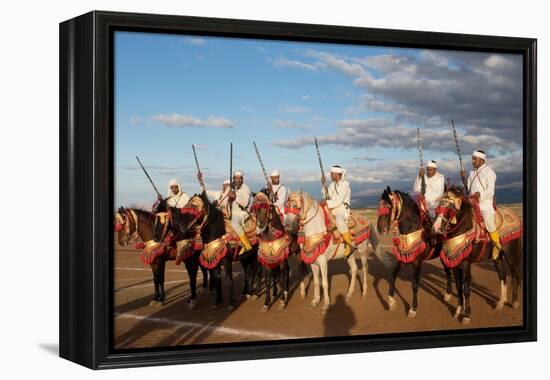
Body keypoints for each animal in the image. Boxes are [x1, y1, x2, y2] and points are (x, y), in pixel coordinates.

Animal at [378, 188, 454, 318]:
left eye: (389, 206)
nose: (379, 228)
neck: (412, 229)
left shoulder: (417, 262)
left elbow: (415, 285)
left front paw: (413, 309)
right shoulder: (403, 258)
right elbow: (393, 276)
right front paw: (391, 302)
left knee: (449, 271)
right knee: (448, 272)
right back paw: (448, 294)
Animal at [436, 187, 520, 324]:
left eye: (450, 207)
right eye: (438, 206)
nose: (437, 228)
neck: (463, 229)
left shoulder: (466, 264)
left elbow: (466, 290)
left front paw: (466, 315)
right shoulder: (455, 265)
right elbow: (459, 288)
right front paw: (458, 311)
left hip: (510, 253)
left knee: (515, 273)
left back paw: (515, 301)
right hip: (497, 257)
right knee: (502, 275)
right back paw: (500, 303)